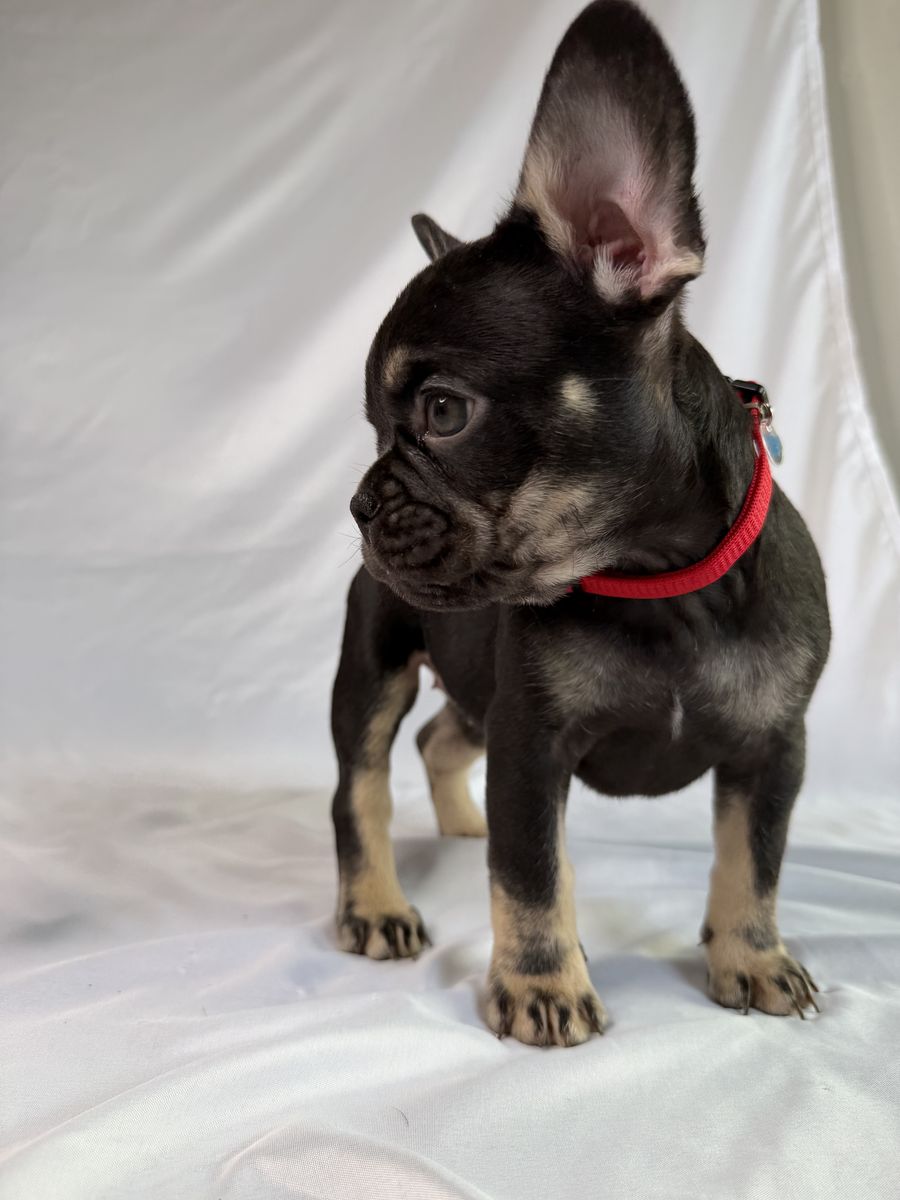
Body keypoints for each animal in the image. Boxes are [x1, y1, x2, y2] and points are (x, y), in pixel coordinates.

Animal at [330, 0, 830, 1046]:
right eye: (375, 427)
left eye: (442, 412)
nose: (360, 501)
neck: (662, 576)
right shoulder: (533, 742)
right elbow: (529, 872)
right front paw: (542, 985)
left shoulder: (773, 748)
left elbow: (754, 863)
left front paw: (753, 958)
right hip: (374, 671)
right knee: (359, 788)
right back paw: (377, 904)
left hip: (475, 691)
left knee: (443, 739)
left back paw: (460, 823)